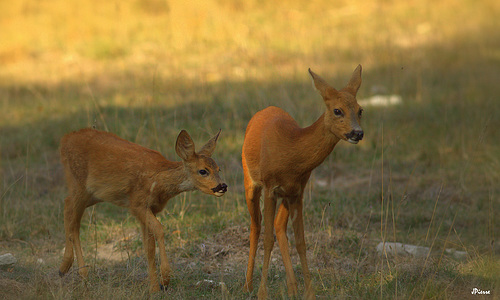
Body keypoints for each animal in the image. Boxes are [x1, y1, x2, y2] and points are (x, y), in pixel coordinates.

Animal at [57, 127, 228, 292]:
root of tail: (65, 139)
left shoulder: (151, 208)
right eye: (203, 171)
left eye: (219, 169)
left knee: (67, 206)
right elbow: (159, 229)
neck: (158, 181)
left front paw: (154, 288)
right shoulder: (137, 204)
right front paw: (165, 279)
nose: (222, 186)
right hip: (79, 183)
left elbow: (149, 247)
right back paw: (79, 272)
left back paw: (64, 267)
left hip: (94, 194)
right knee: (73, 219)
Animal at [242, 65, 364, 298]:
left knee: (279, 227)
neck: (291, 150)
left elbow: (300, 241)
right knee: (256, 226)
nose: (357, 133)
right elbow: (268, 239)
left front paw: (309, 293)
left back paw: (292, 288)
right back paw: (248, 286)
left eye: (360, 110)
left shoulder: (297, 191)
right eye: (337, 110)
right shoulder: (271, 188)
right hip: (250, 181)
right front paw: (263, 293)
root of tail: (263, 110)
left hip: (287, 196)